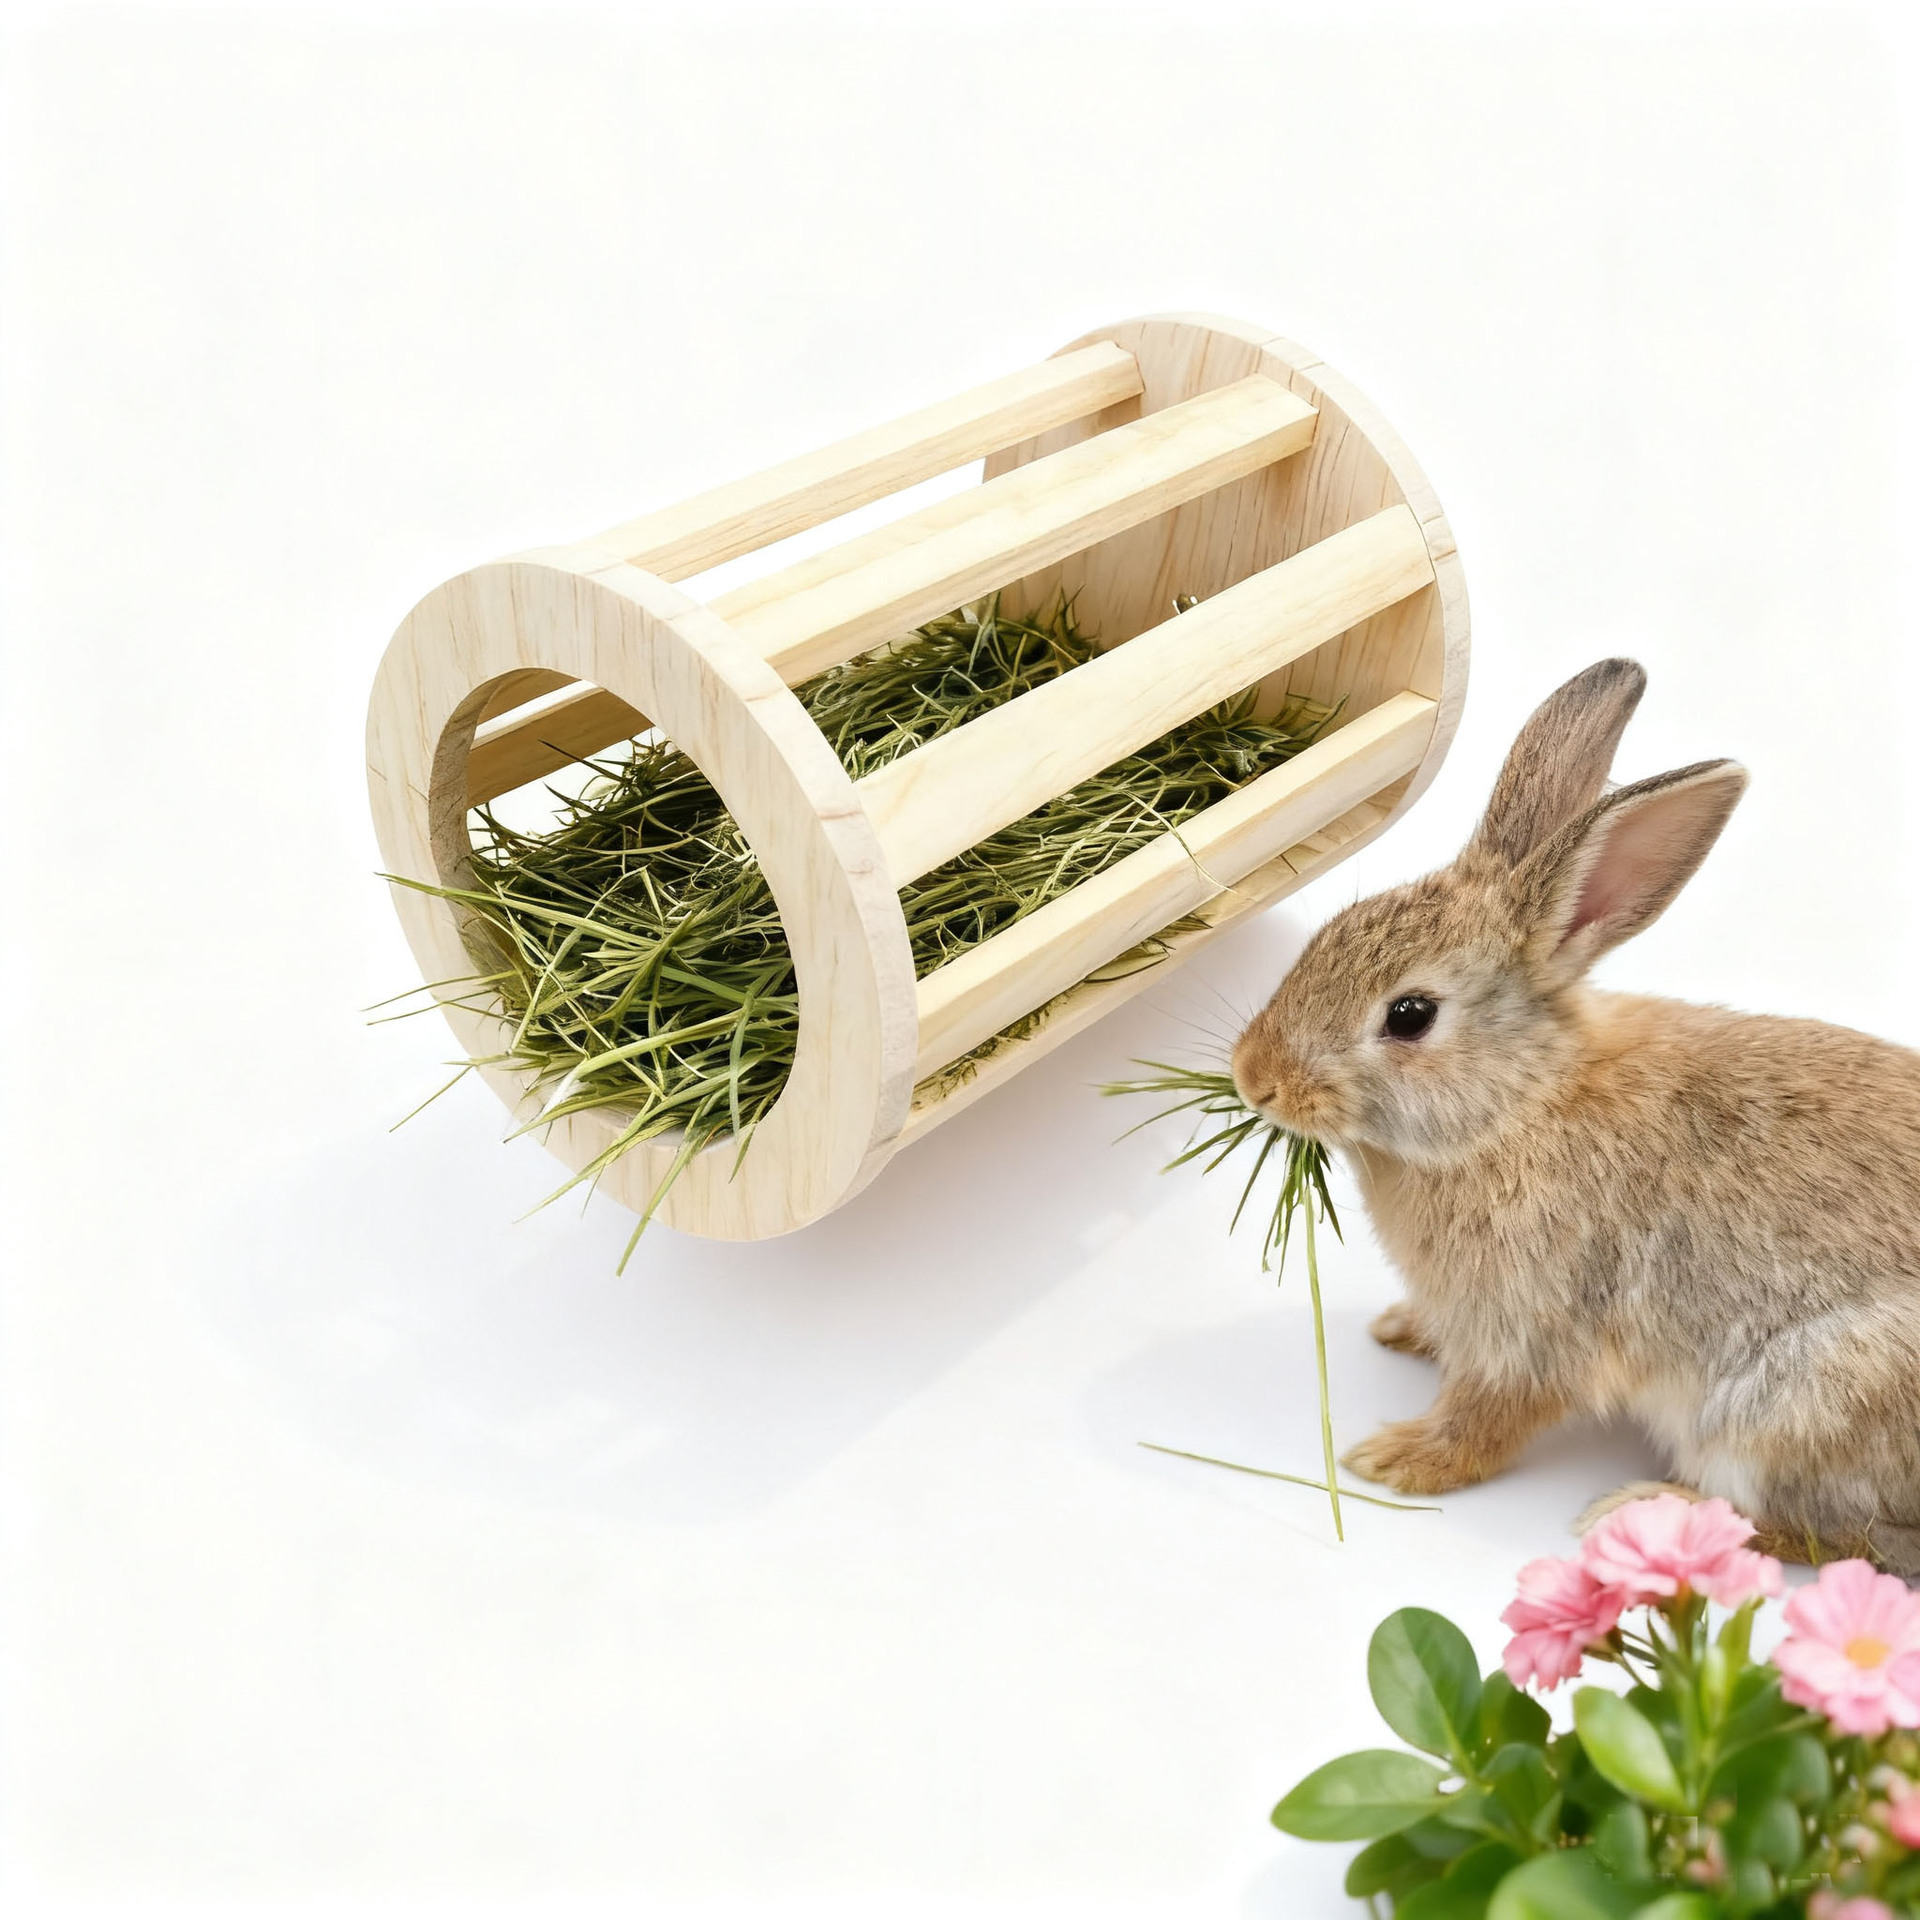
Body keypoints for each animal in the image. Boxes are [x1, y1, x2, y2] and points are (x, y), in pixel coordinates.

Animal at [1230, 658, 1920, 1572]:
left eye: (1409, 1015)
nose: (1253, 1079)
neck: (1522, 1102)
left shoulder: (1532, 1329)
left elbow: (1488, 1417)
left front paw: (1398, 1460)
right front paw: (1402, 1330)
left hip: (1791, 1405)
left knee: (1820, 1533)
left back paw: (1639, 1511)